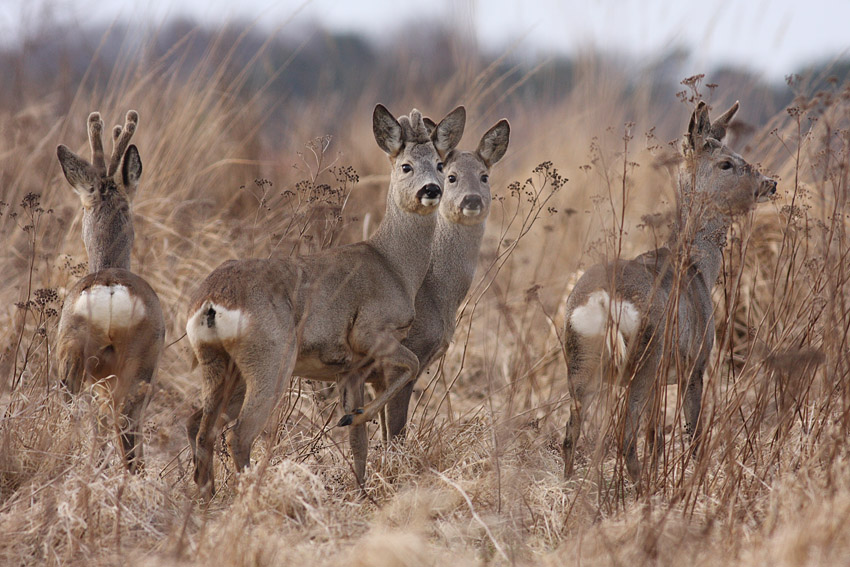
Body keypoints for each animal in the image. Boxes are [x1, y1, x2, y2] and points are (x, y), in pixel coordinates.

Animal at [185, 104, 464, 500]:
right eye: (406, 165)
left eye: (440, 165)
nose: (431, 189)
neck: (393, 265)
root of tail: (210, 301)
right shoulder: (369, 331)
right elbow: (408, 367)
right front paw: (355, 422)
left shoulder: (350, 369)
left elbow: (359, 441)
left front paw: (362, 491)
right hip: (272, 359)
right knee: (238, 434)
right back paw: (251, 495)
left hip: (219, 364)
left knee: (199, 425)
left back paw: (205, 498)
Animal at [564, 101, 776, 484]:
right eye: (727, 162)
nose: (770, 183)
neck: (697, 269)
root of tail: (604, 300)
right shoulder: (695, 363)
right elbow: (693, 435)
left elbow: (656, 437)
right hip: (646, 359)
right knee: (624, 436)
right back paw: (643, 490)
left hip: (579, 363)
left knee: (570, 436)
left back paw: (571, 486)